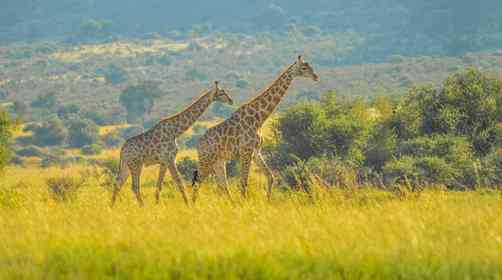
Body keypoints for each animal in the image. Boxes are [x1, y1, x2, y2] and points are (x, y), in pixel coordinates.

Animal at [192, 55, 318, 202]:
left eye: (310, 66)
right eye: (304, 68)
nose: (316, 76)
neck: (259, 118)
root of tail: (198, 144)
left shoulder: (256, 151)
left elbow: (270, 176)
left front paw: (267, 201)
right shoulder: (246, 151)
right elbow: (243, 182)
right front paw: (245, 203)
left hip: (218, 162)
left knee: (222, 186)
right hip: (206, 160)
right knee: (198, 183)